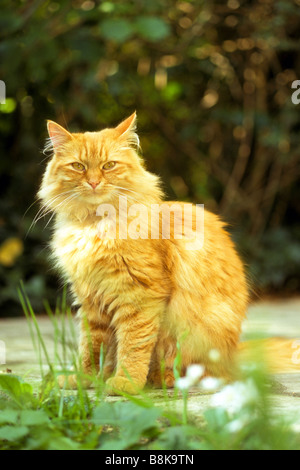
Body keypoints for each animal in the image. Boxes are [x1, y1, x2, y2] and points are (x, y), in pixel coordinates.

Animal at [37, 113, 250, 392]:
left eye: (108, 165)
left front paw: (125, 383)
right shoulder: (91, 300)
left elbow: (133, 345)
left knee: (196, 372)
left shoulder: (139, 294)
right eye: (79, 166)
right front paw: (84, 380)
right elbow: (91, 348)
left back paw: (161, 379)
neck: (95, 226)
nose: (93, 182)